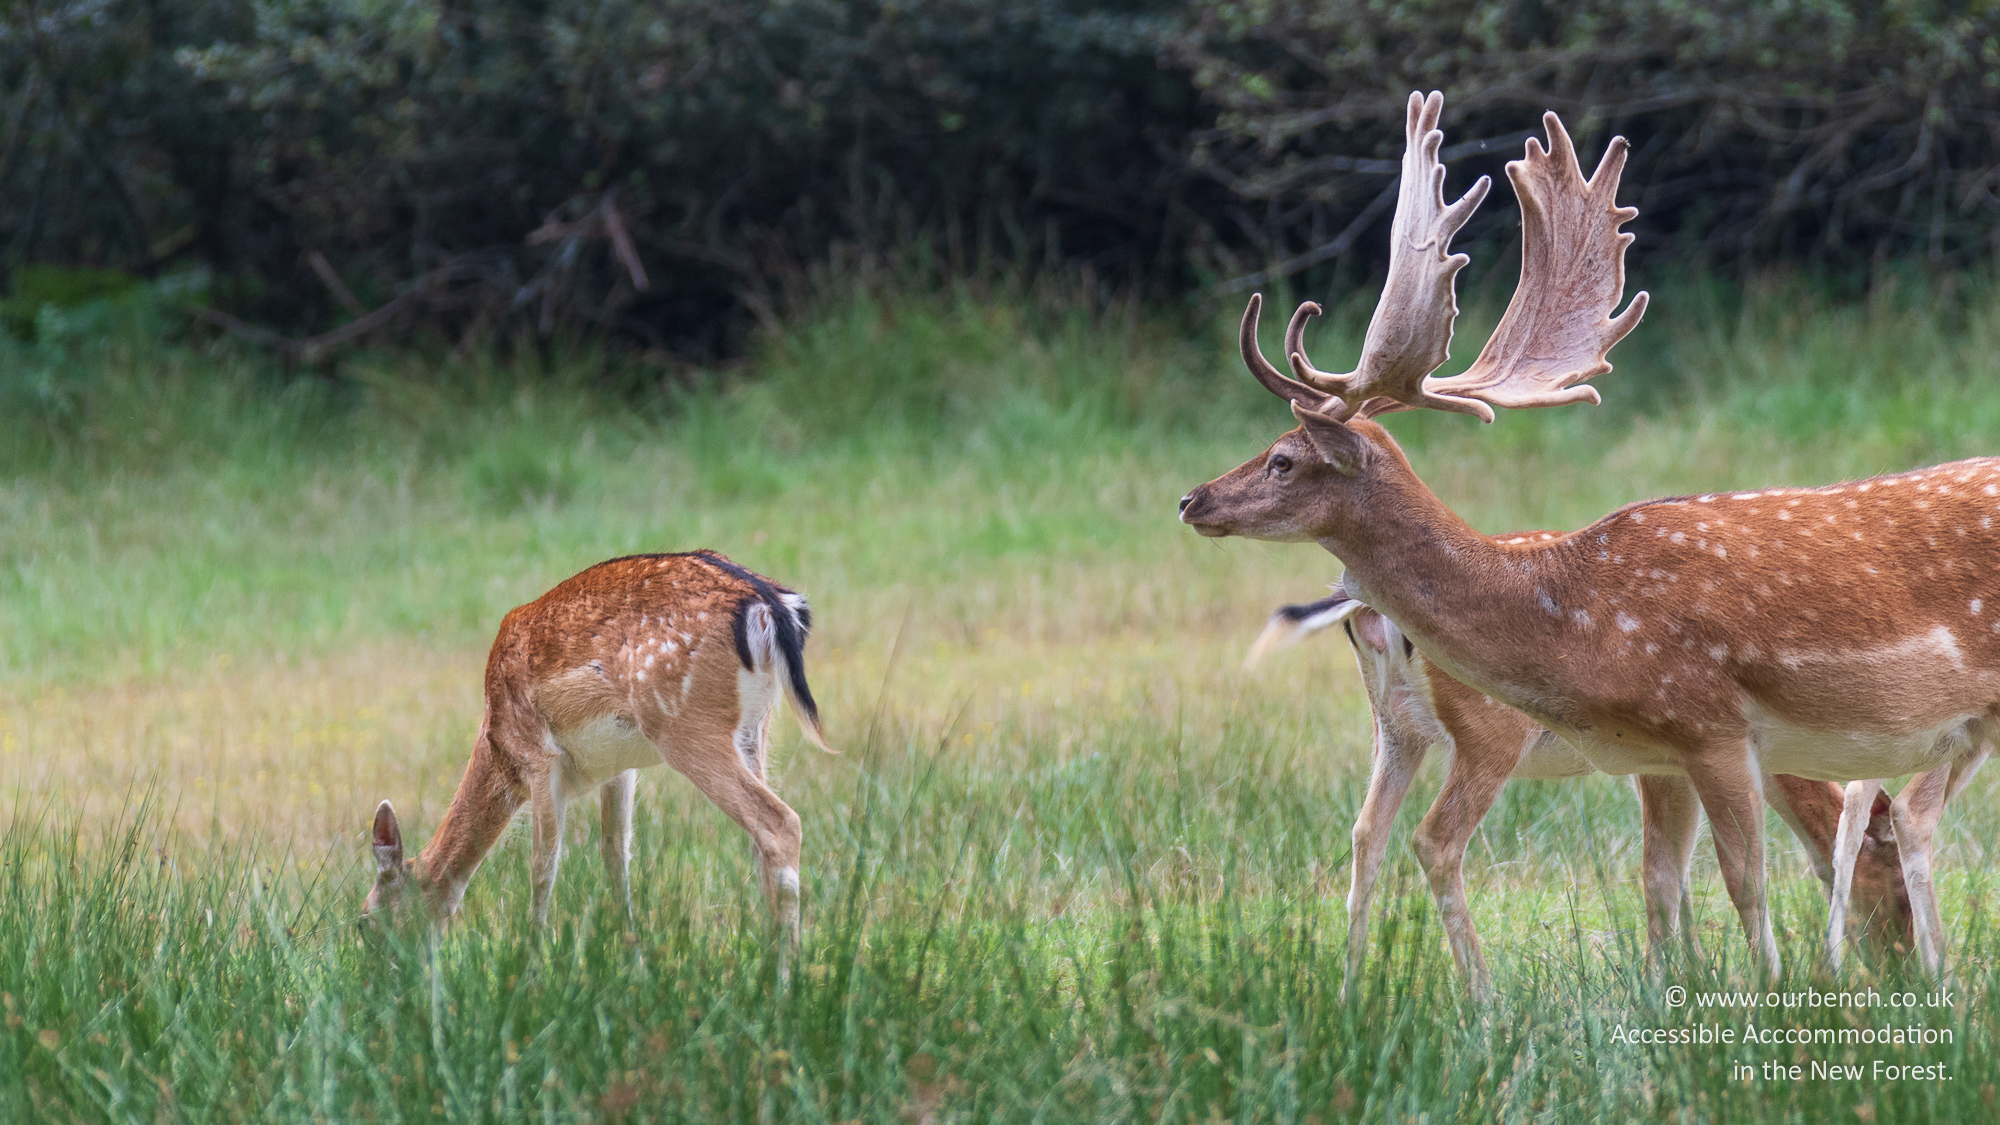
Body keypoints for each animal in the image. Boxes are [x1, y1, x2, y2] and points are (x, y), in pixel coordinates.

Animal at [364, 548, 832, 960]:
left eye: (364, 920)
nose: (383, 978)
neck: (497, 746)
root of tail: (773, 604)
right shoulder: (619, 769)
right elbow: (615, 855)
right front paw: (634, 962)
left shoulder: (539, 758)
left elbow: (543, 867)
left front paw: (530, 969)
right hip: (754, 730)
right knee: (759, 841)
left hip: (686, 724)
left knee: (780, 823)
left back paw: (785, 979)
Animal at [1256, 588, 1912, 988]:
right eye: (1899, 880)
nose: (1899, 965)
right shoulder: (1676, 755)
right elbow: (1670, 865)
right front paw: (1682, 977)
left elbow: (1676, 863)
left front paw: (1690, 971)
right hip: (1487, 733)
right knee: (1434, 840)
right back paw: (1484, 998)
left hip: (1393, 728)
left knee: (1367, 833)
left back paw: (1351, 991)